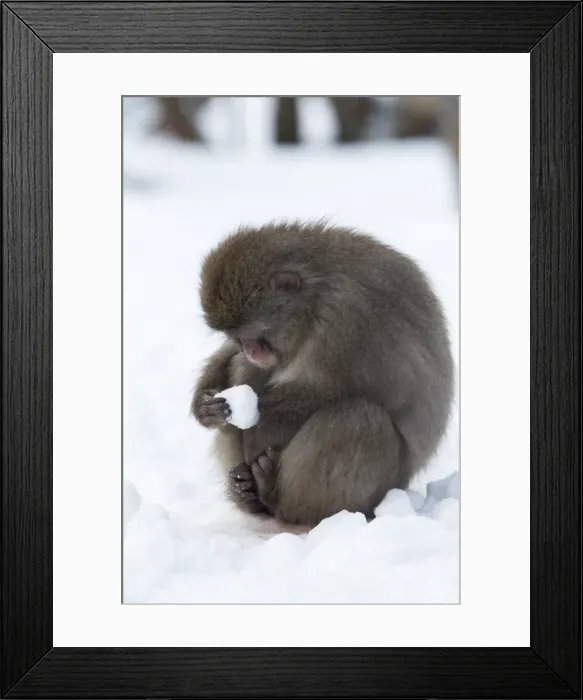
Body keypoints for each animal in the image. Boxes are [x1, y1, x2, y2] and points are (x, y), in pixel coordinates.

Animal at [191, 220, 454, 528]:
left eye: (257, 334)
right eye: (238, 337)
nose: (251, 350)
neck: (315, 299)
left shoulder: (348, 318)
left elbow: (324, 392)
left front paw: (254, 426)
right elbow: (232, 358)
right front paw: (204, 405)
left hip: (384, 486)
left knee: (359, 418)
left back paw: (272, 494)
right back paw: (247, 493)